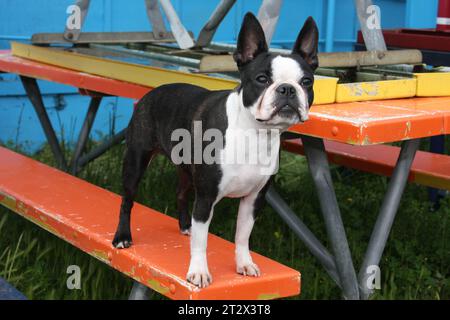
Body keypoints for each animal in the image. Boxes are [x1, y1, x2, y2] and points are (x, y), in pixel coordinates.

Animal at [111, 12, 316, 288]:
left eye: (307, 82)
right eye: (262, 79)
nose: (287, 88)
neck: (253, 133)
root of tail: (152, 92)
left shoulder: (254, 199)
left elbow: (243, 235)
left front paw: (244, 263)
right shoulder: (207, 197)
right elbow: (202, 241)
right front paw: (198, 272)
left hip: (186, 169)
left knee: (181, 193)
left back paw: (185, 225)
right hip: (136, 160)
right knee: (127, 200)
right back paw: (122, 236)